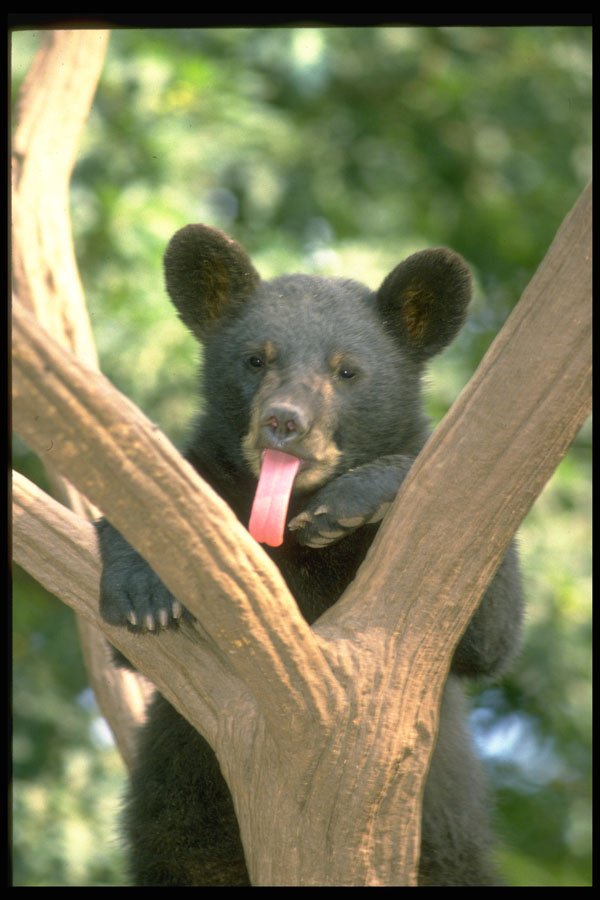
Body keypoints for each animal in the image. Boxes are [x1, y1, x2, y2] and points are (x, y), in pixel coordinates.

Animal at [97, 224, 523, 886]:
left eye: (346, 370)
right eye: (256, 359)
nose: (284, 422)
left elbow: (489, 632)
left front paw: (350, 500)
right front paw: (142, 589)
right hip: (183, 825)